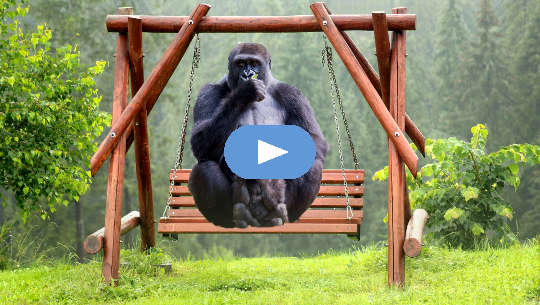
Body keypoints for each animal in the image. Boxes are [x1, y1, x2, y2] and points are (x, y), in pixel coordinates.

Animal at [186, 42, 330, 227]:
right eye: (240, 64)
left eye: (254, 63)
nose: (247, 75)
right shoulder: (208, 91)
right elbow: (199, 142)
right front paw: (244, 92)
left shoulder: (293, 94)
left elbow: (314, 140)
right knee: (205, 168)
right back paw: (229, 218)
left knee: (312, 164)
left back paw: (283, 215)